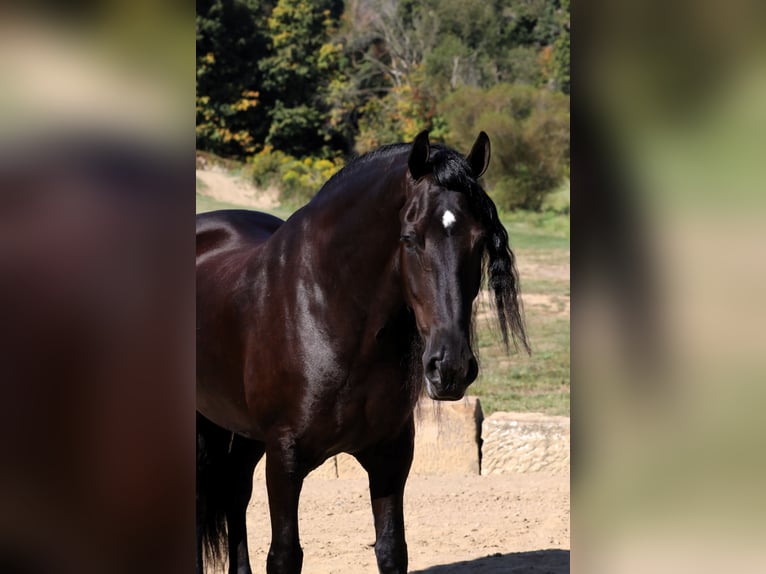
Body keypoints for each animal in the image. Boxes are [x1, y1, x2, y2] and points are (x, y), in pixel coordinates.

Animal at [196, 132, 528, 574]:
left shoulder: (390, 455)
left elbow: (391, 549)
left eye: (479, 241)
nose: (450, 368)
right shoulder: (284, 459)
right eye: (410, 238)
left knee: (234, 492)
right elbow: (285, 555)